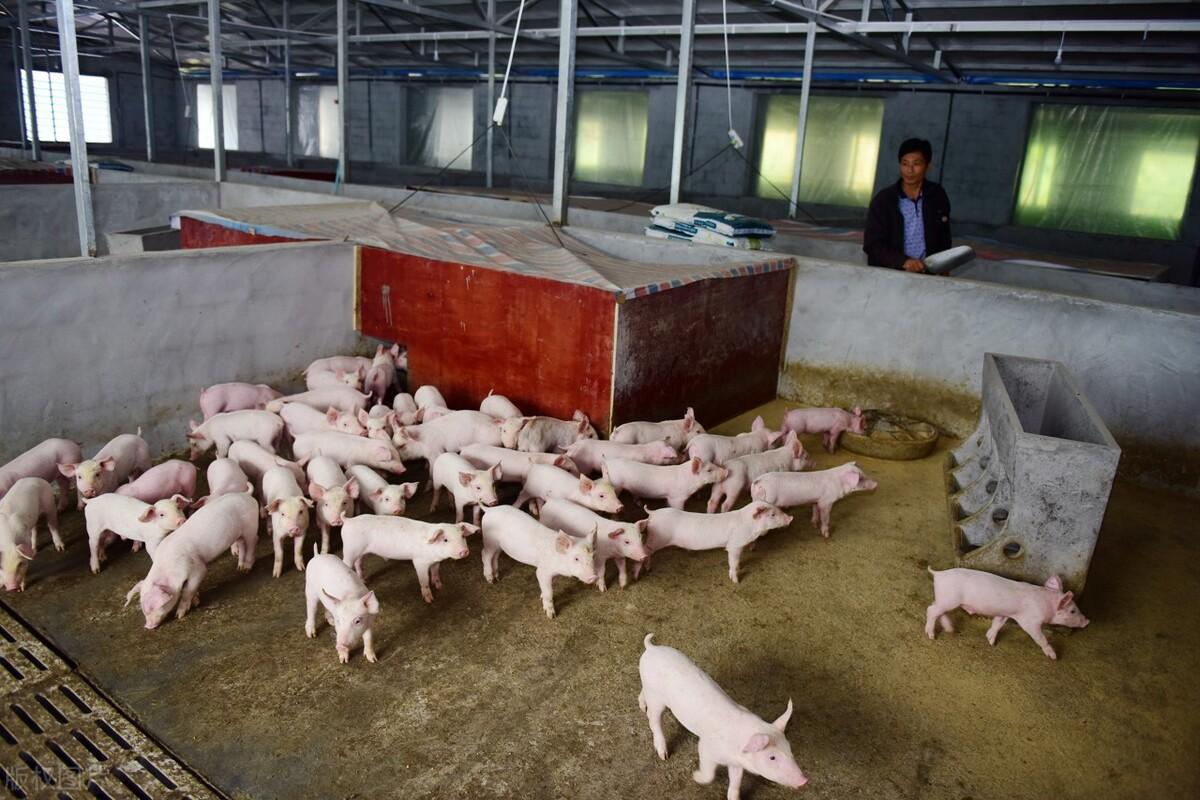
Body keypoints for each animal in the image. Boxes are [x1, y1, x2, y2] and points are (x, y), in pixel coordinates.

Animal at [124, 492, 259, 629]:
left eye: (153, 607)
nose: (147, 627)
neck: (168, 568)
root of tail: (246, 495)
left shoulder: (197, 568)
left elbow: (188, 589)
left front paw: (179, 615)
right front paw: (196, 601)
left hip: (250, 526)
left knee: (253, 541)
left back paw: (247, 568)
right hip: (239, 534)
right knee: (242, 544)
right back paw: (240, 568)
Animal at [341, 515, 477, 602]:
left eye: (462, 536)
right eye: (445, 540)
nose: (464, 551)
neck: (434, 554)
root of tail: (348, 520)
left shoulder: (436, 562)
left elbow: (435, 573)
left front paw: (439, 586)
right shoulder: (419, 562)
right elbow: (424, 580)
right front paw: (429, 600)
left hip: (360, 551)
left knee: (358, 563)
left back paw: (364, 580)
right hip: (349, 550)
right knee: (346, 562)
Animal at [638, 634, 807, 797]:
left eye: (789, 749)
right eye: (772, 757)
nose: (804, 780)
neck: (738, 750)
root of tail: (651, 649)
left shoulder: (736, 763)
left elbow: (736, 781)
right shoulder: (706, 747)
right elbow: (709, 773)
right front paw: (695, 776)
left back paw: (642, 706)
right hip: (656, 697)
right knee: (653, 720)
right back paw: (663, 754)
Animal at [639, 502, 794, 583]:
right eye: (772, 514)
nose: (791, 518)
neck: (750, 526)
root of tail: (653, 513)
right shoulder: (734, 545)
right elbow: (733, 562)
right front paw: (736, 581)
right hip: (657, 538)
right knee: (646, 549)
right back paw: (647, 568)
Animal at [925, 567, 1090, 660]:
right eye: (1073, 610)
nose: (1087, 621)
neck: (1045, 602)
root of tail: (938, 574)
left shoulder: (1005, 613)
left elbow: (997, 624)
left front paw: (991, 641)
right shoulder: (1030, 621)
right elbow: (1040, 638)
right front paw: (1054, 657)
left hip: (944, 599)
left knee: (935, 608)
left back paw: (950, 629)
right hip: (949, 599)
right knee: (931, 610)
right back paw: (931, 636)